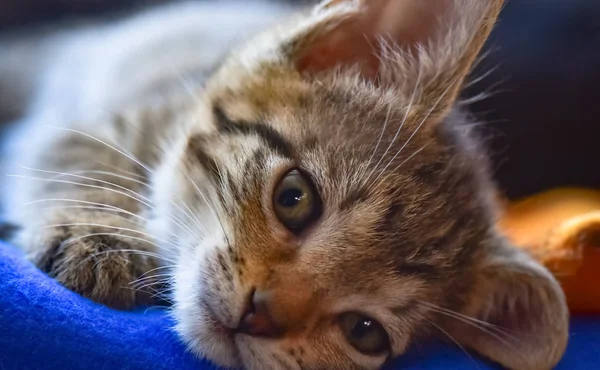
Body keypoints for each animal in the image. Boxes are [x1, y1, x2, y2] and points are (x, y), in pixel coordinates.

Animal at [2, 0, 568, 370]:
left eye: (364, 332)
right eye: (294, 198)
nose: (260, 316)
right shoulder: (102, 121)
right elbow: (80, 159)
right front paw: (99, 237)